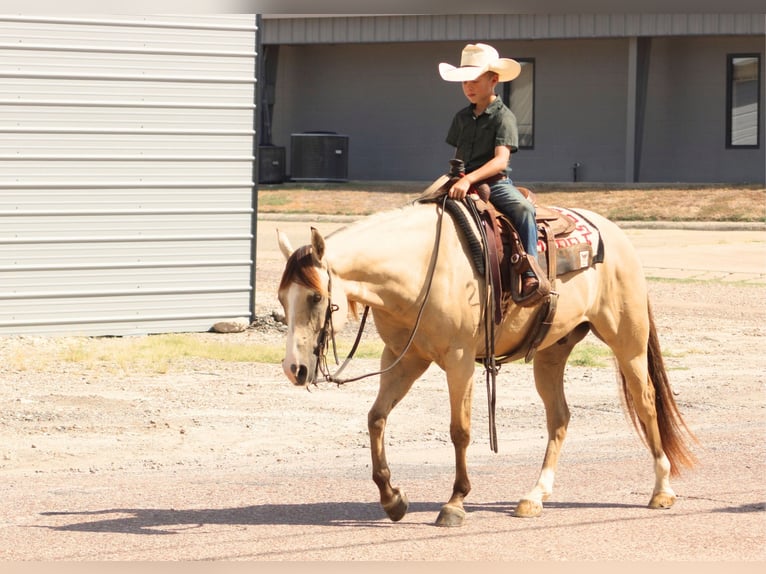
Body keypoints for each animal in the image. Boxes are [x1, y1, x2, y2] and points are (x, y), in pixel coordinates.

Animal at [275, 193, 697, 527]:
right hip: (551, 352)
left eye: (315, 297)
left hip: (628, 342)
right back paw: (534, 496)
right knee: (559, 417)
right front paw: (392, 499)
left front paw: (455, 502)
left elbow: (459, 430)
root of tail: (617, 234)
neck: (421, 267)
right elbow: (376, 418)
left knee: (645, 401)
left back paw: (662, 489)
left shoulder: (459, 359)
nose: (294, 370)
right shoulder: (406, 357)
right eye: (282, 298)